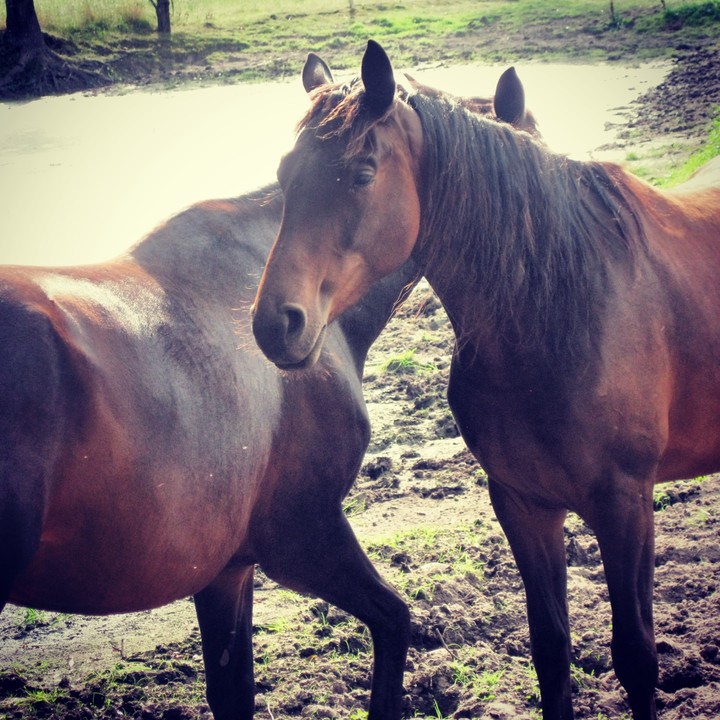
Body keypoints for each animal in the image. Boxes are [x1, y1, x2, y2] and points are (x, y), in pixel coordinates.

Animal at [251, 40, 720, 720]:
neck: (558, 314)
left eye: (362, 173)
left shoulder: (626, 506)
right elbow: (550, 648)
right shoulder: (522, 504)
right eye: (286, 176)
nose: (274, 324)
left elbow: (636, 656)